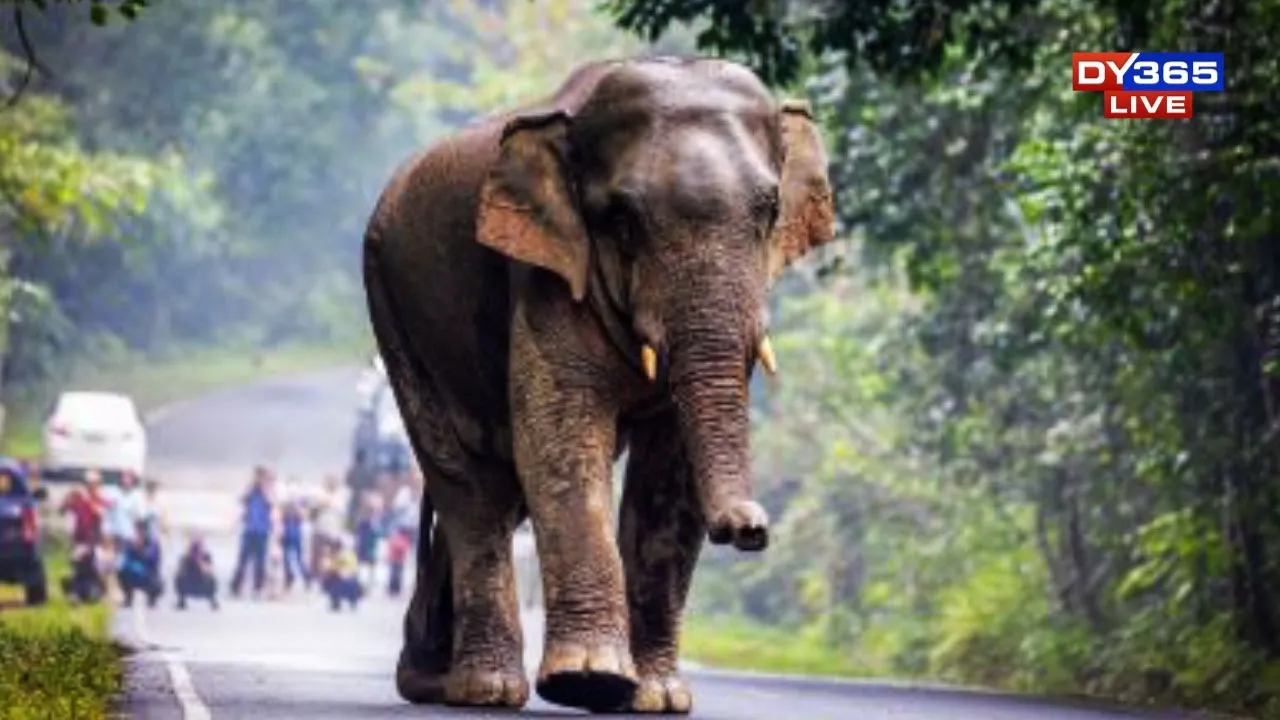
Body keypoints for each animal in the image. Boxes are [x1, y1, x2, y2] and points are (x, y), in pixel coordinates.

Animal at [362, 55, 835, 713]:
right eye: (622, 220)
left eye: (769, 211)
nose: (749, 528)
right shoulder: (544, 273)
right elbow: (561, 440)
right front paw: (591, 680)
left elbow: (669, 469)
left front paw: (657, 698)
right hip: (390, 302)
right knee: (466, 482)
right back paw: (483, 689)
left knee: (502, 486)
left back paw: (429, 677)